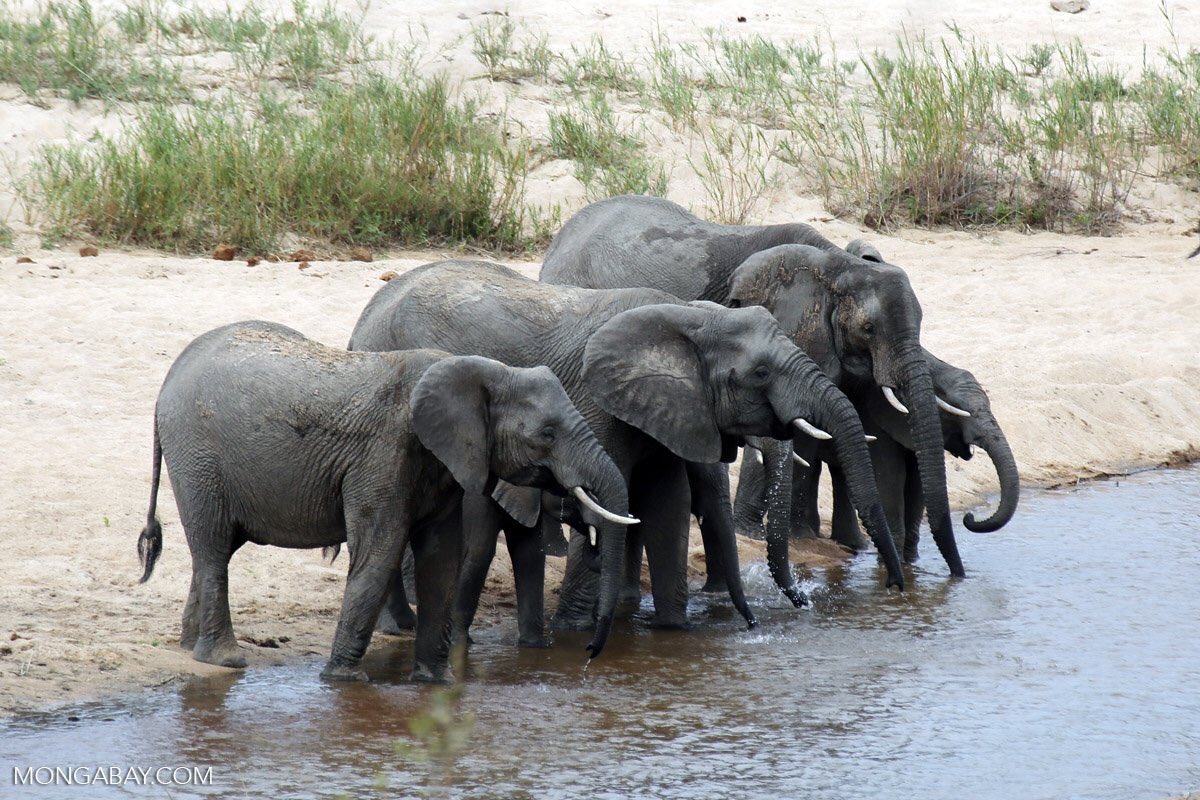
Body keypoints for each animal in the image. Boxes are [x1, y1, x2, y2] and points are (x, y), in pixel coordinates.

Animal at [135, 320, 630, 682]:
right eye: (547, 434)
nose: (589, 653)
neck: (478, 372)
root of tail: (166, 384)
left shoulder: (441, 465)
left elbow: (440, 558)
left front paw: (436, 683)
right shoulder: (384, 455)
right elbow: (381, 551)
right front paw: (343, 682)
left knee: (212, 552)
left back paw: (190, 650)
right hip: (199, 457)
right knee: (214, 547)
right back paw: (225, 661)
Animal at [349, 260, 904, 647]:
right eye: (761, 373)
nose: (898, 587)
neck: (685, 317)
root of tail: (363, 320)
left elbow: (666, 505)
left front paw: (672, 632)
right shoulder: (596, 399)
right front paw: (578, 634)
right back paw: (410, 621)